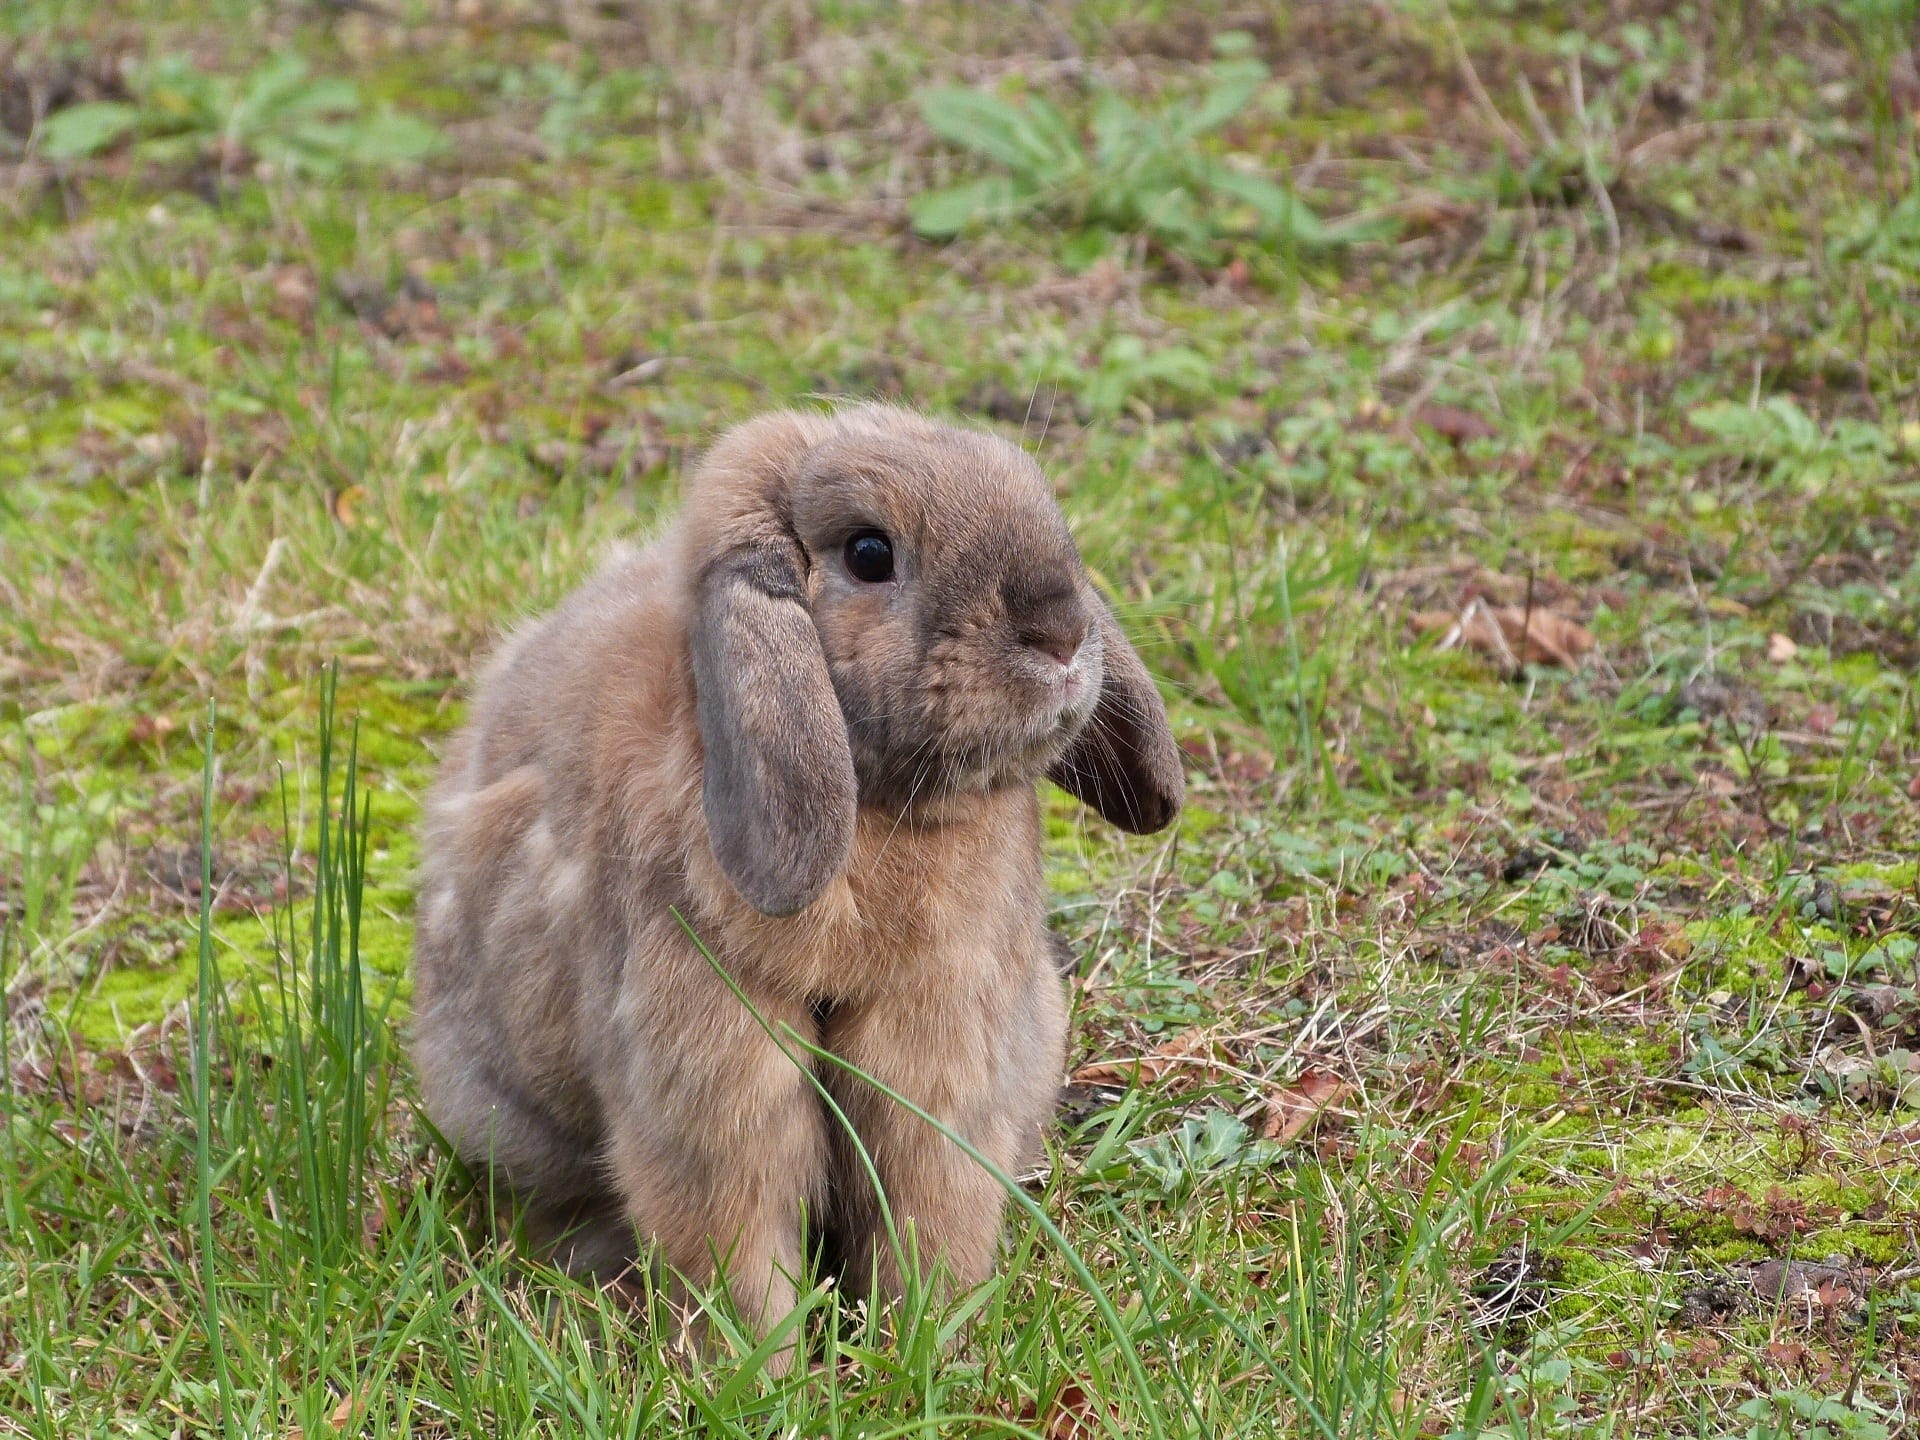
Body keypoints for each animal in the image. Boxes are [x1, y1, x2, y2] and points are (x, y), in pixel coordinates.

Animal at [411, 404, 1183, 1364]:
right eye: (869, 552)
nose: (1062, 634)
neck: (880, 807)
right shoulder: (711, 1089)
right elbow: (738, 1237)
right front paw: (759, 1371)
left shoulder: (941, 1060)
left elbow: (928, 1207)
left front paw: (920, 1347)